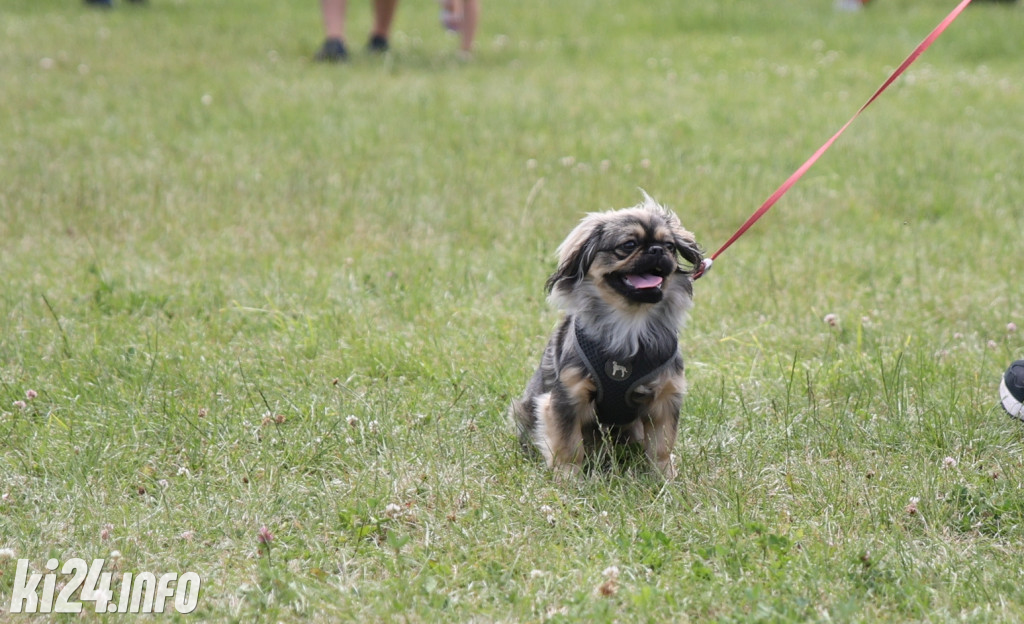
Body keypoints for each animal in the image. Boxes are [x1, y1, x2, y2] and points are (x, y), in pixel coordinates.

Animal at [507, 194, 700, 477]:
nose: (657, 250)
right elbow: (568, 444)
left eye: (670, 246)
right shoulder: (569, 397)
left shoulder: (665, 397)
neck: (630, 321)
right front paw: (568, 477)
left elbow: (662, 445)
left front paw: (665, 477)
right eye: (628, 245)